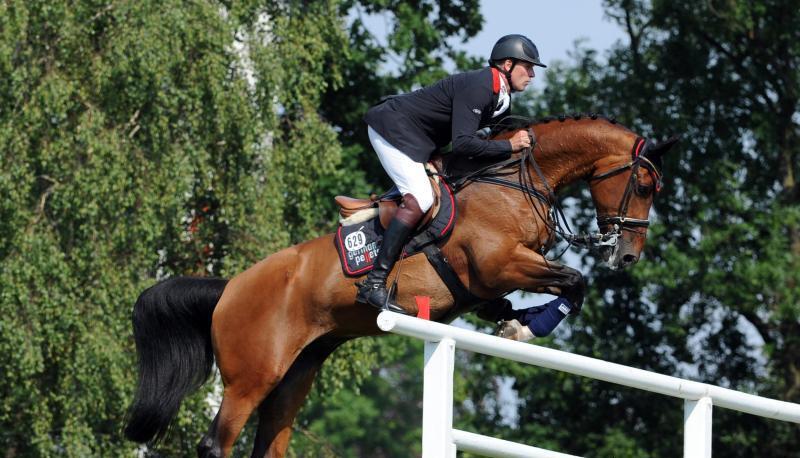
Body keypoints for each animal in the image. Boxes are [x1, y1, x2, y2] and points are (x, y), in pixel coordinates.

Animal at [123, 116, 678, 457]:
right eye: (644, 185)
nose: (627, 255)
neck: (515, 182)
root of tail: (229, 288)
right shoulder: (499, 265)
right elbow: (574, 282)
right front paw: (526, 329)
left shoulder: (488, 285)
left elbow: (536, 294)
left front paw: (514, 323)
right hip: (252, 375)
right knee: (216, 442)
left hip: (295, 374)